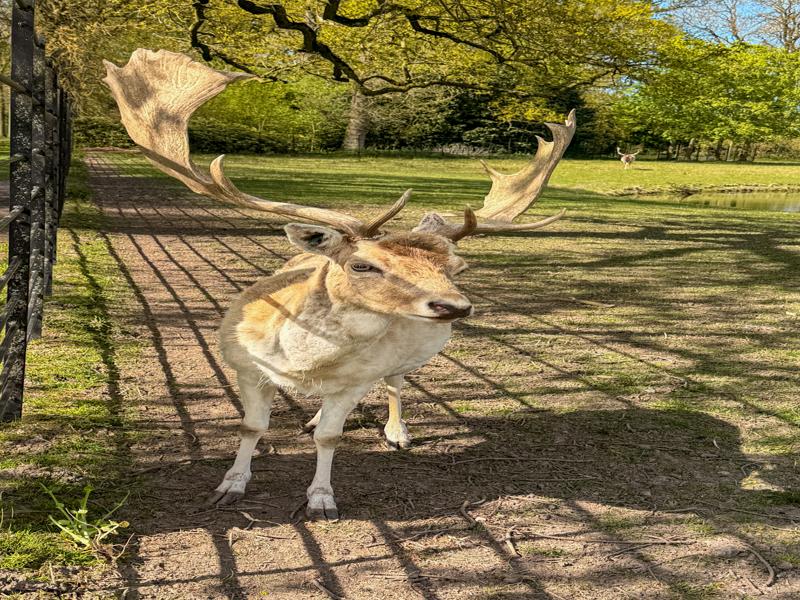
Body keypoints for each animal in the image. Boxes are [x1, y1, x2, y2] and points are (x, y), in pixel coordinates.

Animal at [103, 49, 575, 520]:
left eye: (456, 267)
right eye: (362, 265)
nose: (454, 306)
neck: (300, 364)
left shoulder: (356, 380)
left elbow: (331, 437)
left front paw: (322, 500)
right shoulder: (244, 366)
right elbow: (251, 426)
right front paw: (229, 486)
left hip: (399, 361)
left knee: (395, 384)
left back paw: (397, 432)